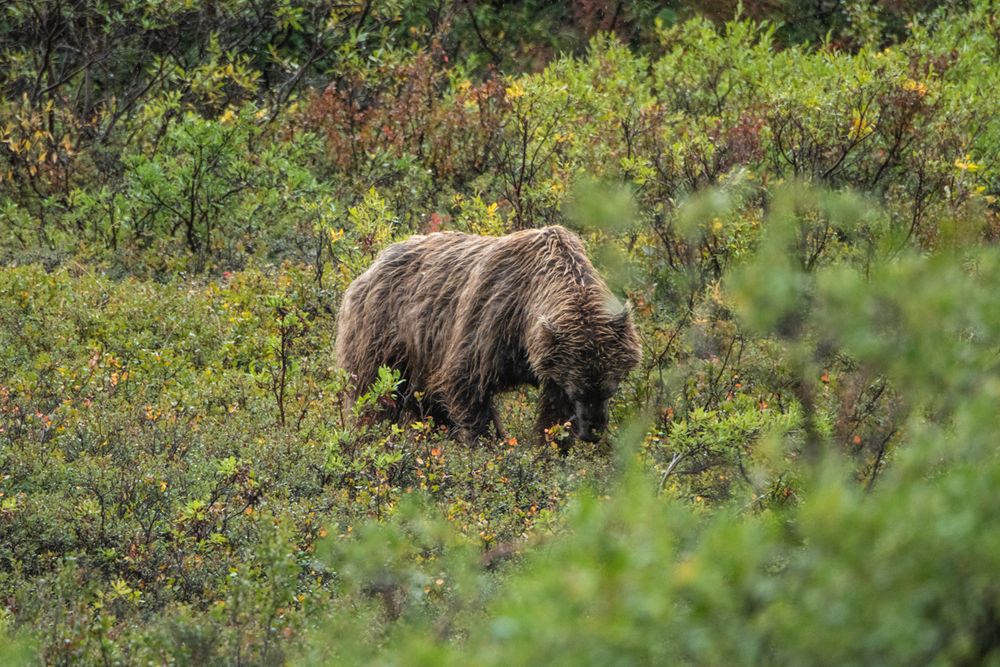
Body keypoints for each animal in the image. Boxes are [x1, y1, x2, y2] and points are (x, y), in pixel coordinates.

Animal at [338, 224, 640, 448]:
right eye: (579, 392)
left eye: (611, 388)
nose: (593, 431)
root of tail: (369, 268)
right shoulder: (491, 320)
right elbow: (466, 385)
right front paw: (489, 443)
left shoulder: (551, 360)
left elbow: (553, 412)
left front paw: (552, 447)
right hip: (385, 338)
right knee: (374, 398)